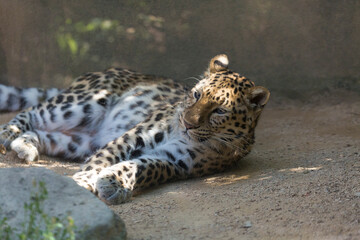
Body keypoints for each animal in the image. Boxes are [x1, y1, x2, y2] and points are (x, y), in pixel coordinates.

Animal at [0, 54, 268, 204]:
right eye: (196, 95)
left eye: (220, 111)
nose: (187, 123)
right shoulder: (135, 135)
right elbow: (102, 160)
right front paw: (82, 183)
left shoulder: (175, 161)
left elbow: (143, 168)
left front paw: (112, 182)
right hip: (81, 103)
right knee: (33, 110)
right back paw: (8, 134)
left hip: (79, 142)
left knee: (45, 133)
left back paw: (25, 146)